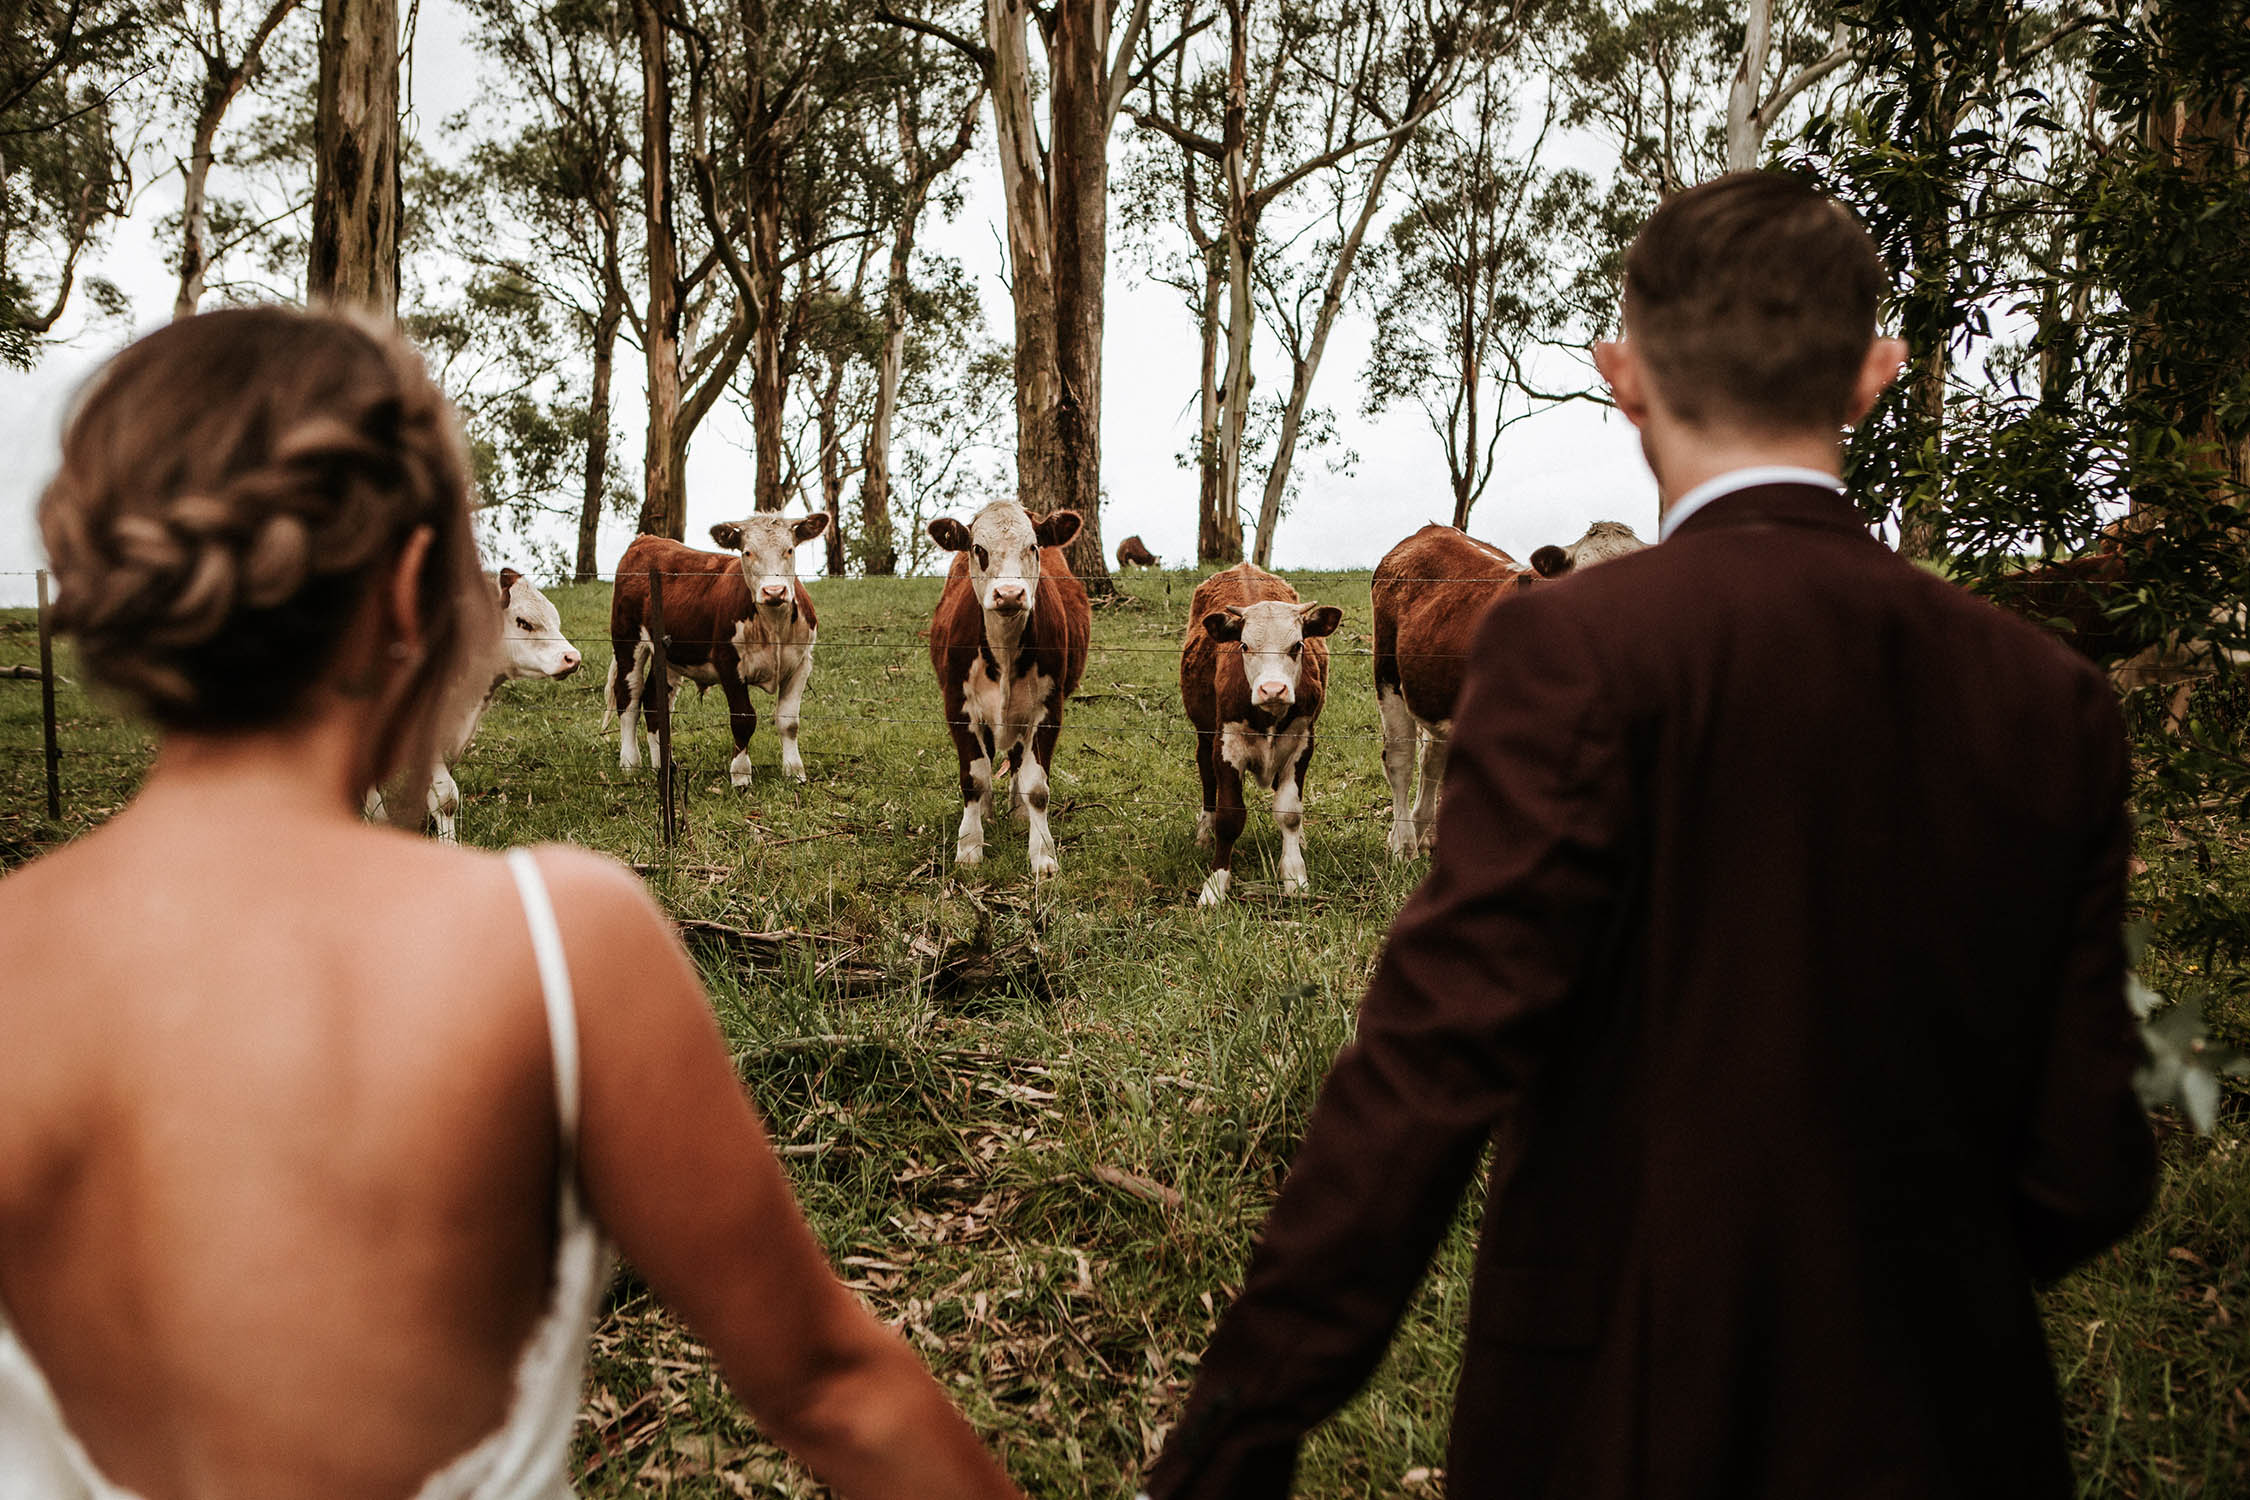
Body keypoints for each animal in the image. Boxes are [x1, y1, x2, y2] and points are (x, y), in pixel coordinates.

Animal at [603, 512, 832, 787]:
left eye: (789, 549)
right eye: (747, 552)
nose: (774, 591)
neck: (773, 625)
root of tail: (646, 539)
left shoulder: (801, 664)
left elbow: (789, 722)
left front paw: (795, 772)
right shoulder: (728, 664)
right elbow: (743, 719)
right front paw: (740, 776)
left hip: (667, 655)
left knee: (654, 701)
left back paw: (663, 766)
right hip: (627, 641)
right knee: (629, 697)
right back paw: (630, 763)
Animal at [927, 503, 1093, 881]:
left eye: (1032, 547)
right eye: (978, 549)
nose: (1009, 594)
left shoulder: (1048, 711)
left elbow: (1037, 788)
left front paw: (1042, 854)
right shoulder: (958, 707)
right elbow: (974, 778)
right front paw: (969, 847)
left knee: (1017, 761)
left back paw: (1017, 812)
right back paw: (987, 811)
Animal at [1179, 559, 1332, 904]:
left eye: (1298, 645)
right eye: (1245, 645)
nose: (1272, 689)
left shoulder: (1302, 743)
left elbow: (1289, 812)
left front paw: (1294, 874)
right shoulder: (1227, 746)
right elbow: (1230, 817)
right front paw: (1216, 884)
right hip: (1204, 734)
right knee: (1206, 778)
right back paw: (1204, 832)